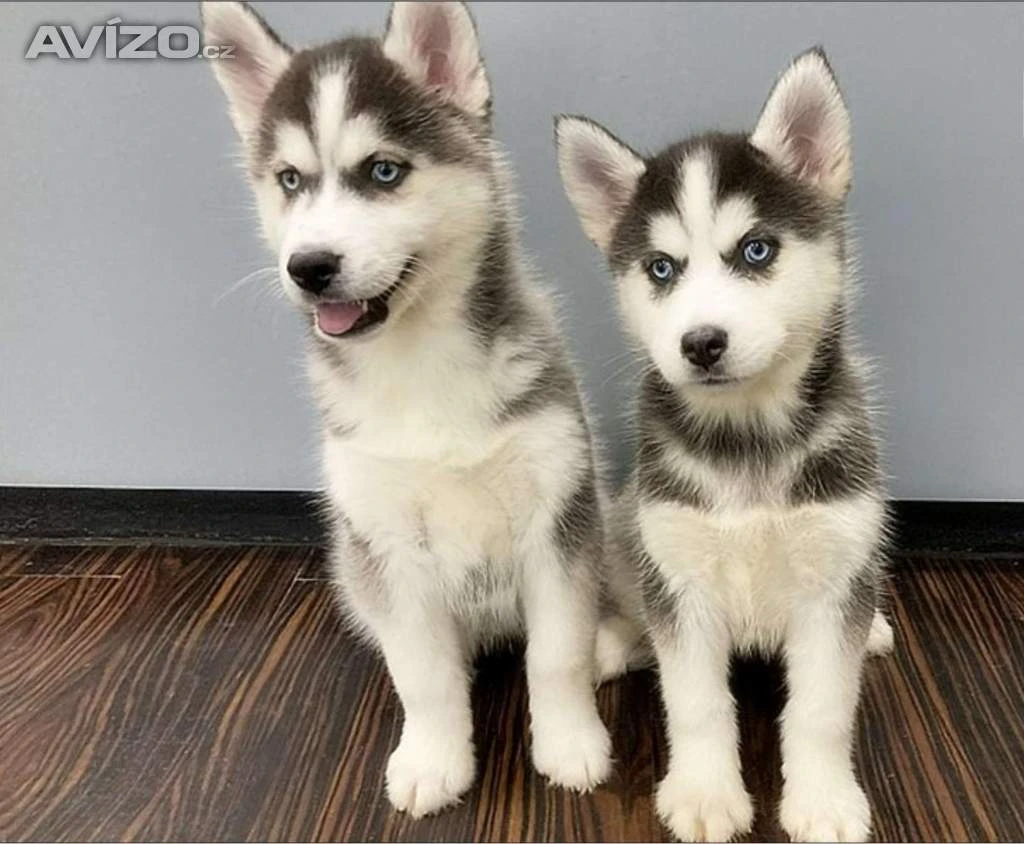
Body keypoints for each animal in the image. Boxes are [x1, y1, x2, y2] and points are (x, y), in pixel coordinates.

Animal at [201, 0, 626, 818]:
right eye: (291, 180)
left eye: (383, 171)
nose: (309, 266)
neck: (421, 367)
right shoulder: (387, 548)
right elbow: (425, 676)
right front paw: (434, 758)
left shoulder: (556, 522)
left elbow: (555, 655)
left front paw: (570, 742)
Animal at [556, 49, 893, 842]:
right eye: (661, 268)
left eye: (756, 250)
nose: (701, 343)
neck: (749, 441)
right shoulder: (682, 582)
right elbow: (697, 703)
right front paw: (706, 793)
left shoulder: (833, 577)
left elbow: (823, 709)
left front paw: (823, 800)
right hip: (632, 526)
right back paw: (613, 641)